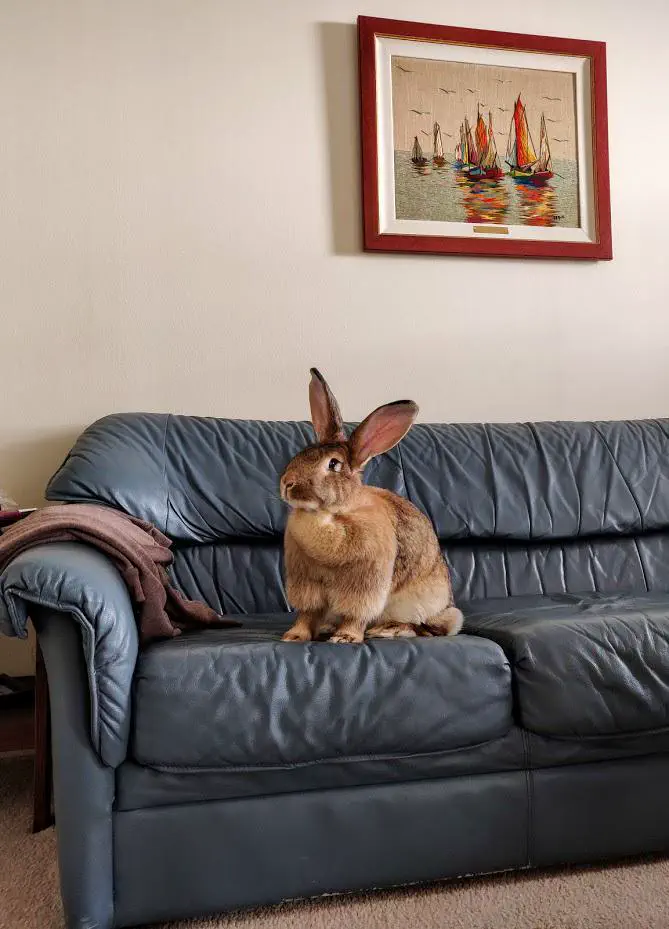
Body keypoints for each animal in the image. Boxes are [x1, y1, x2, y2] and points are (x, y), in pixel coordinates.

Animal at [279, 368, 463, 644]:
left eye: (333, 464)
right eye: (303, 452)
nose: (287, 483)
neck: (329, 514)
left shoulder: (365, 585)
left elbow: (355, 615)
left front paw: (345, 638)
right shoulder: (306, 584)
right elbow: (307, 614)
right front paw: (294, 636)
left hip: (418, 606)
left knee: (428, 627)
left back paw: (387, 630)